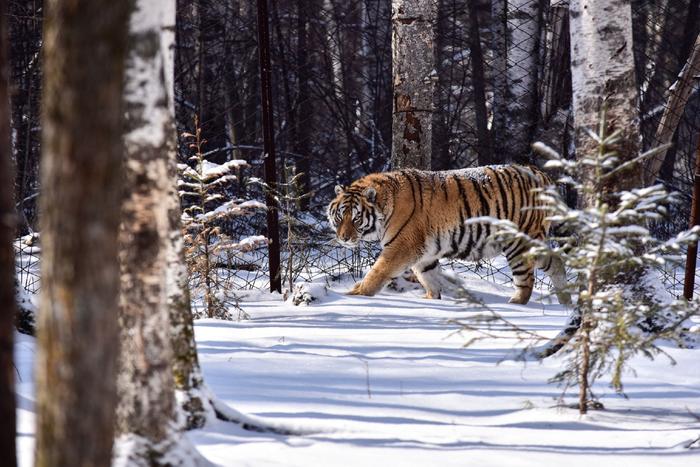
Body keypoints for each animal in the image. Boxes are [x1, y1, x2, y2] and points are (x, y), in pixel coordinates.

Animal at [326, 165, 568, 308]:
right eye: (339, 217)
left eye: (356, 218)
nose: (344, 238)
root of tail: (540, 173)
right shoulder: (424, 252)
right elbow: (428, 276)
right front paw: (432, 299)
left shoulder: (401, 246)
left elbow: (378, 272)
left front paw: (355, 294)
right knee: (556, 261)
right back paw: (566, 301)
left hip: (519, 241)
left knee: (526, 278)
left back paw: (517, 302)